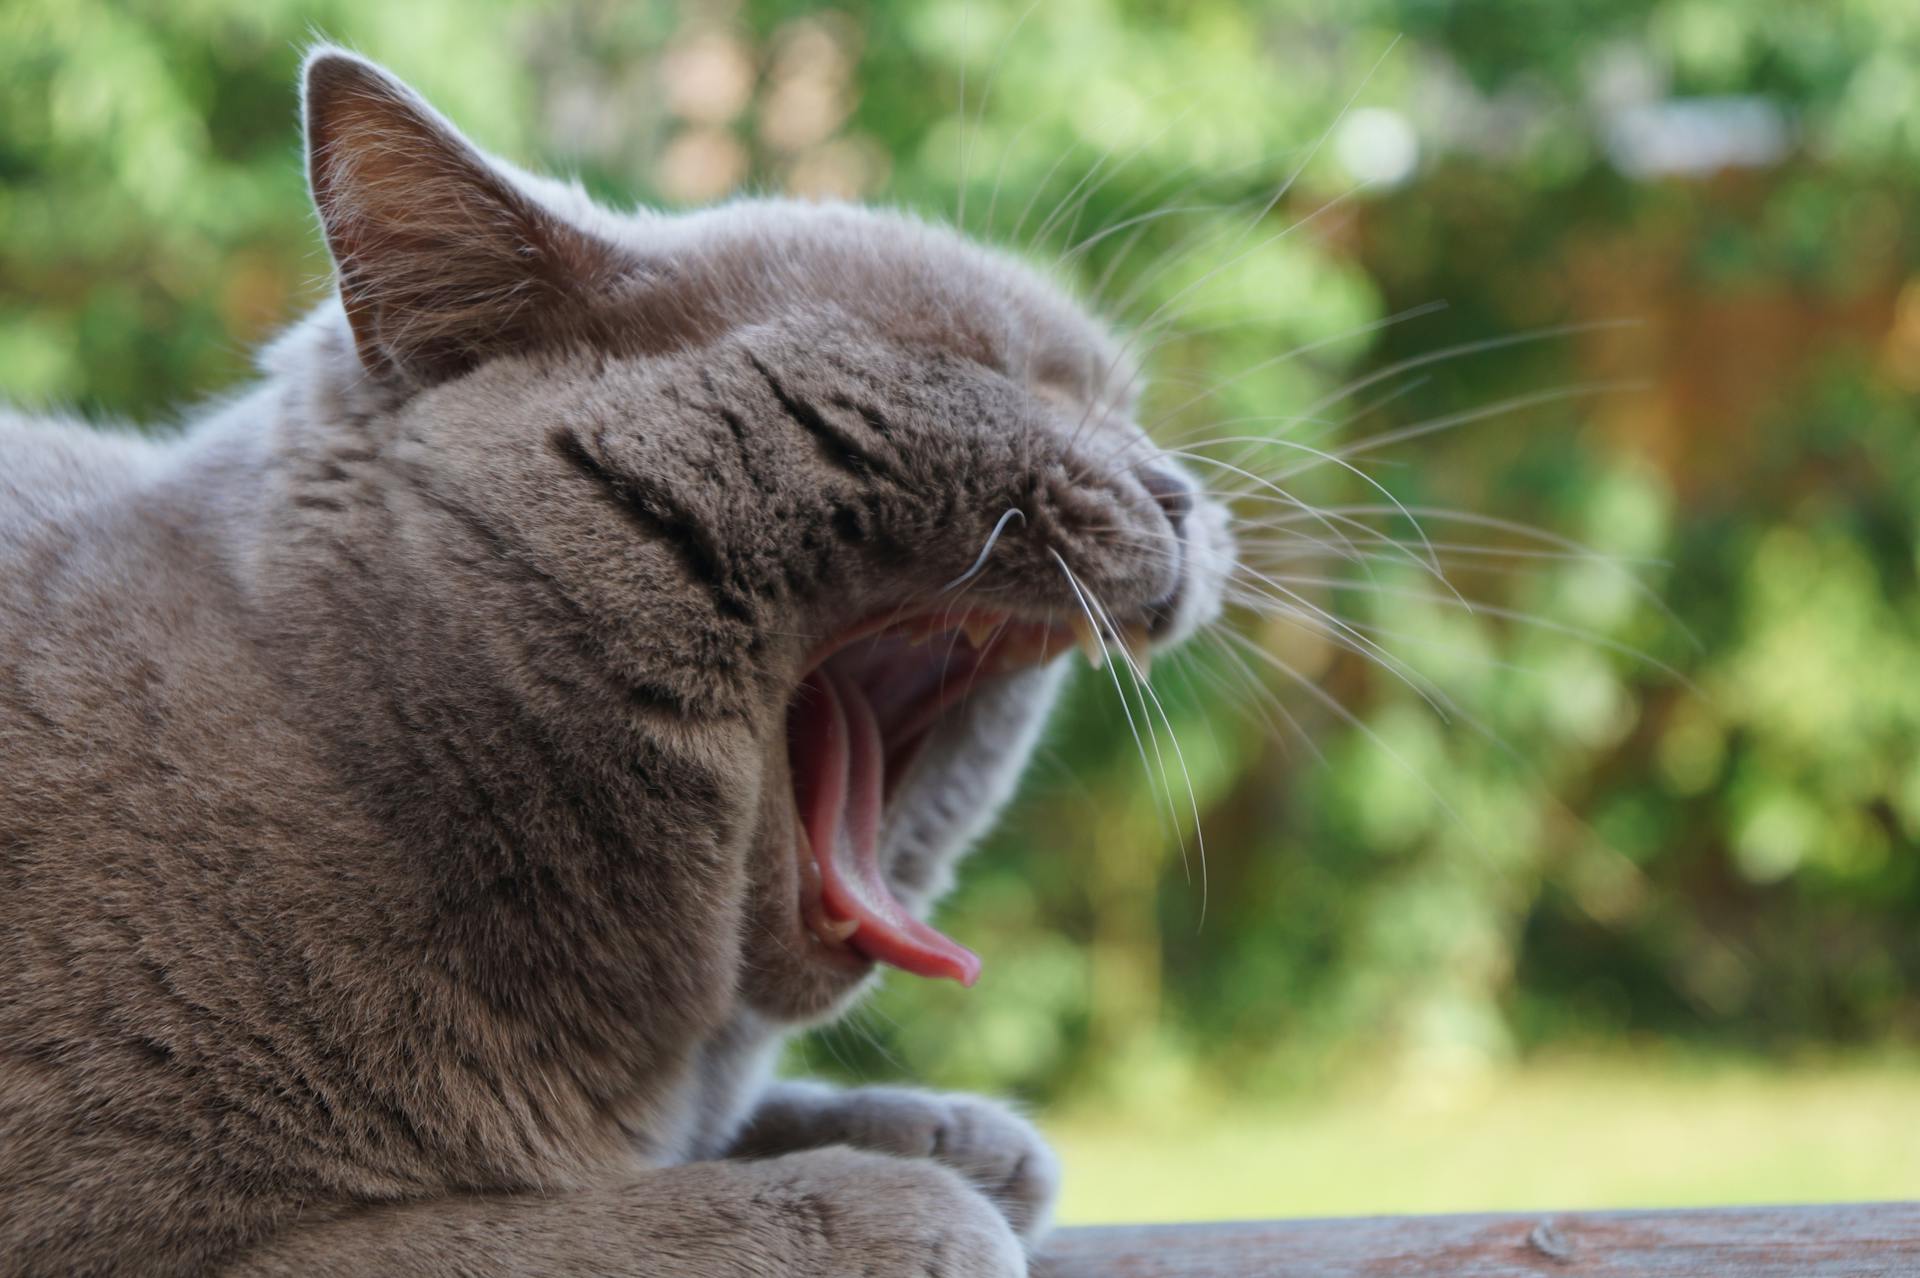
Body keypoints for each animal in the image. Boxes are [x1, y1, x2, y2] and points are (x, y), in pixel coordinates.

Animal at [0, 49, 1228, 1274]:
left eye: (1121, 404)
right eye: (977, 366)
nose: (1181, 494)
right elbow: (577, 1225)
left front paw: (946, 1134)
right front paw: (903, 1200)